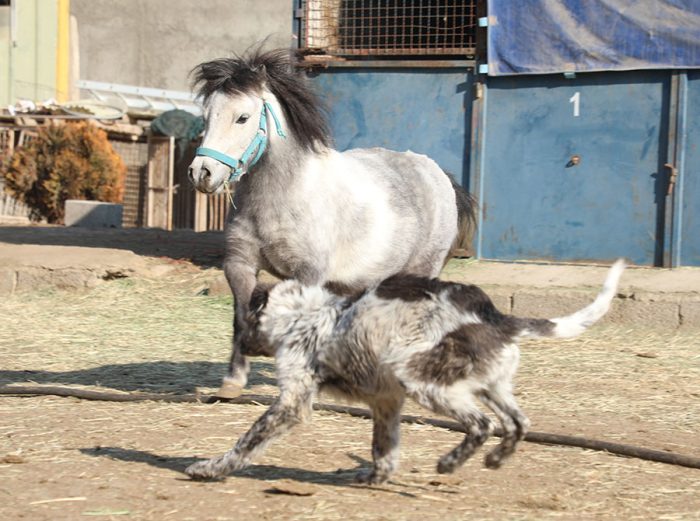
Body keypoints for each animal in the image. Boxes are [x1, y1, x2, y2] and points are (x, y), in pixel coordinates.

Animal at [186, 260, 624, 484]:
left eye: (243, 322)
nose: (238, 346)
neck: (302, 312)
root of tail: (496, 317)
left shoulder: (293, 399)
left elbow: (247, 441)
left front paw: (211, 467)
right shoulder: (386, 401)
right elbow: (384, 449)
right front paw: (375, 478)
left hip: (425, 379)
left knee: (482, 424)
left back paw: (450, 463)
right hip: (490, 385)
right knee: (518, 423)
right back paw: (496, 460)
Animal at [187, 49, 476, 398]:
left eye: (242, 117)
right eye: (206, 117)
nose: (202, 173)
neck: (280, 197)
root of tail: (438, 174)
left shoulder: (307, 275)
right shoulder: (239, 266)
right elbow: (241, 318)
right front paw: (231, 383)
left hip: (422, 272)